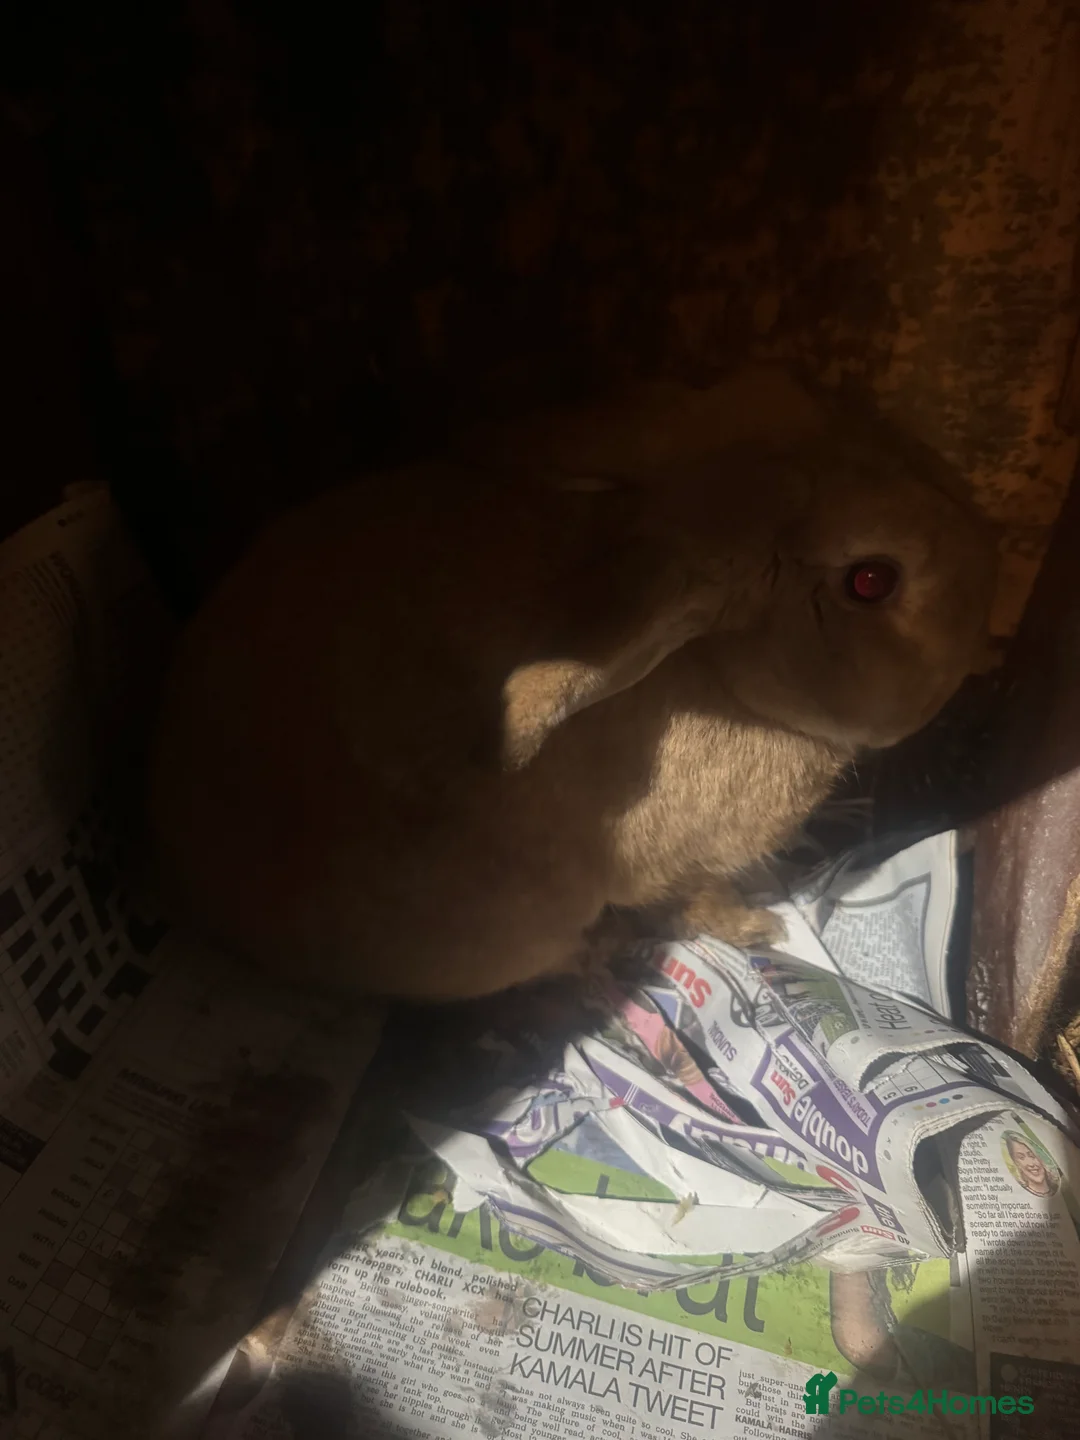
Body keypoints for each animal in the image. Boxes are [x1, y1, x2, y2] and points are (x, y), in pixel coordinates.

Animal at [146, 366, 996, 1002]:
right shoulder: (677, 865)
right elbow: (697, 896)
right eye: (871, 580)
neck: (719, 671)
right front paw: (759, 928)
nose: (983, 637)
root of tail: (198, 891)